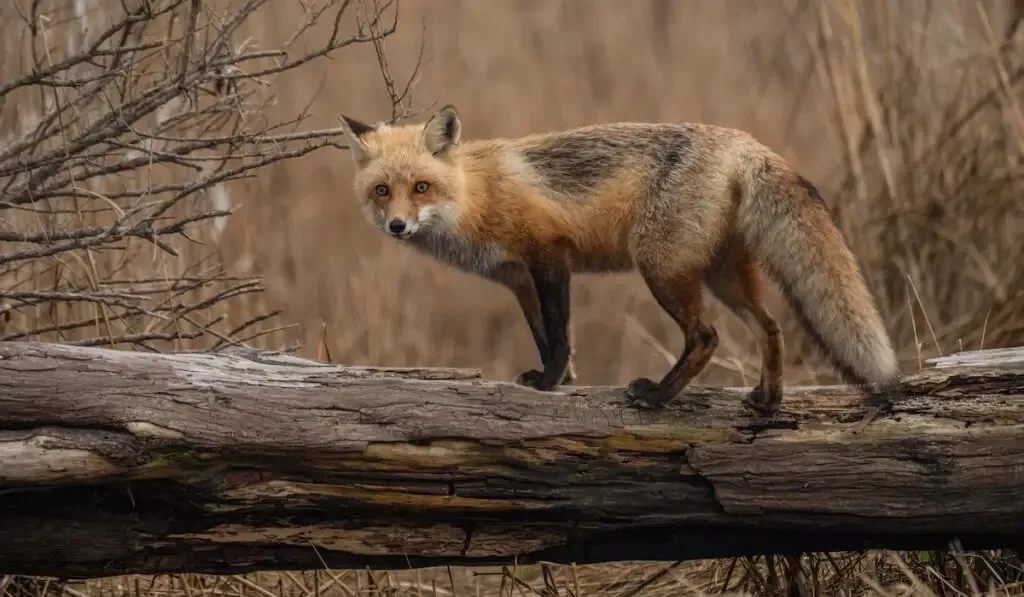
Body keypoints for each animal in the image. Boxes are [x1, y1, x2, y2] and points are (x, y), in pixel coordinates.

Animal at [335, 104, 897, 413]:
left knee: (706, 337)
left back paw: (658, 397)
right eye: (383, 191)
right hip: (723, 277)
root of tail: (743, 141)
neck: (475, 196)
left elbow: (559, 336)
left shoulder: (549, 257)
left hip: (662, 269)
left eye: (421, 187)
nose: (397, 226)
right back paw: (767, 401)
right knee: (771, 327)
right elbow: (545, 336)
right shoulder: (519, 280)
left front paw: (550, 383)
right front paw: (559, 382)